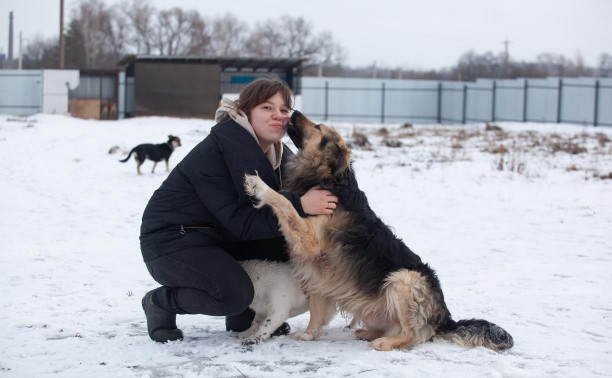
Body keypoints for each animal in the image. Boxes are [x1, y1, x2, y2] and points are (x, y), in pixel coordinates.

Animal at [241, 111, 512, 352]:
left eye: (317, 126)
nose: (293, 110)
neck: (330, 178)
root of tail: (445, 319)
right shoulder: (317, 269)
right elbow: (317, 311)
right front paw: (309, 335)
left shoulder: (309, 241)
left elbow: (284, 202)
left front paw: (260, 187)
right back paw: (368, 332)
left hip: (403, 280)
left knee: (414, 334)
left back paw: (385, 342)